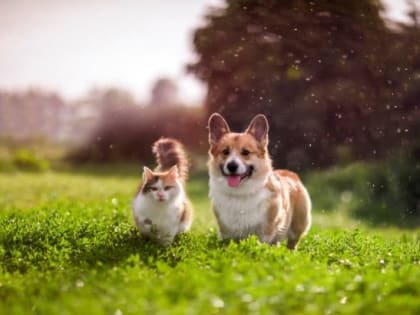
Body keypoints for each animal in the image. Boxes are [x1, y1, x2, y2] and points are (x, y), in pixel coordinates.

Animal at [208, 113, 312, 249]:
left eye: (245, 152)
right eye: (225, 151)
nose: (232, 166)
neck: (241, 193)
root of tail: (290, 173)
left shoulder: (266, 230)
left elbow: (262, 242)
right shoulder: (227, 232)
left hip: (298, 225)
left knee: (292, 243)